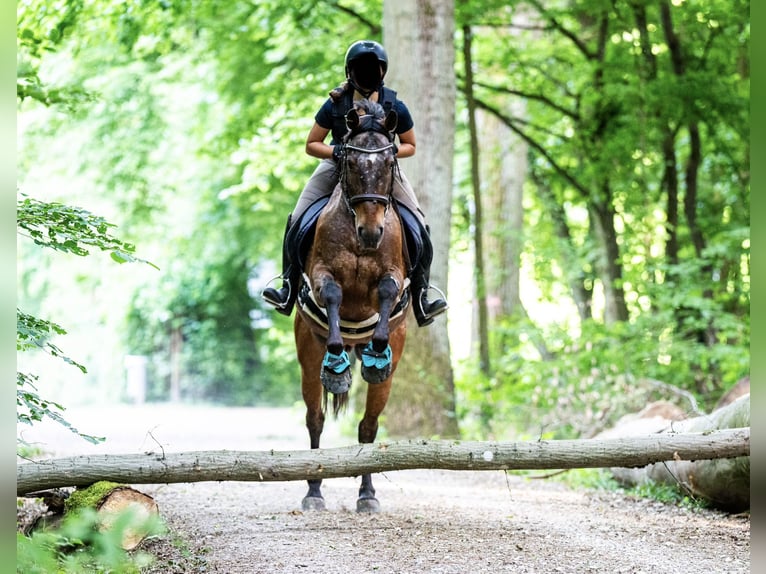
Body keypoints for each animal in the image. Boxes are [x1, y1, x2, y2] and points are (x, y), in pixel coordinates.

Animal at [293, 99, 410, 513]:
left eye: (389, 163)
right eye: (352, 165)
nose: (371, 232)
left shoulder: (392, 273)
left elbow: (389, 289)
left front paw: (377, 350)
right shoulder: (322, 273)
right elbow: (331, 295)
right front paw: (337, 361)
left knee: (368, 426)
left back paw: (368, 494)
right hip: (307, 354)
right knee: (315, 419)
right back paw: (313, 491)